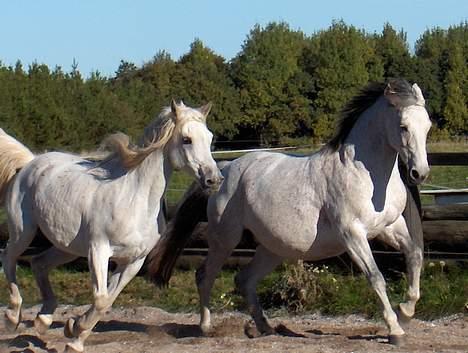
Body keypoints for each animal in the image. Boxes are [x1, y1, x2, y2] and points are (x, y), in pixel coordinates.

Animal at [0, 100, 223, 350]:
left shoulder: (133, 261)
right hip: (23, 232)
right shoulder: (99, 250)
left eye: (209, 137)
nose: (214, 179)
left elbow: (107, 301)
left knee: (38, 263)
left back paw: (43, 319)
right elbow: (100, 299)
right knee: (8, 257)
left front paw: (73, 330)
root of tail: (30, 163)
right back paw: (12, 317)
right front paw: (74, 337)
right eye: (186, 139)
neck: (134, 199)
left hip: (67, 247)